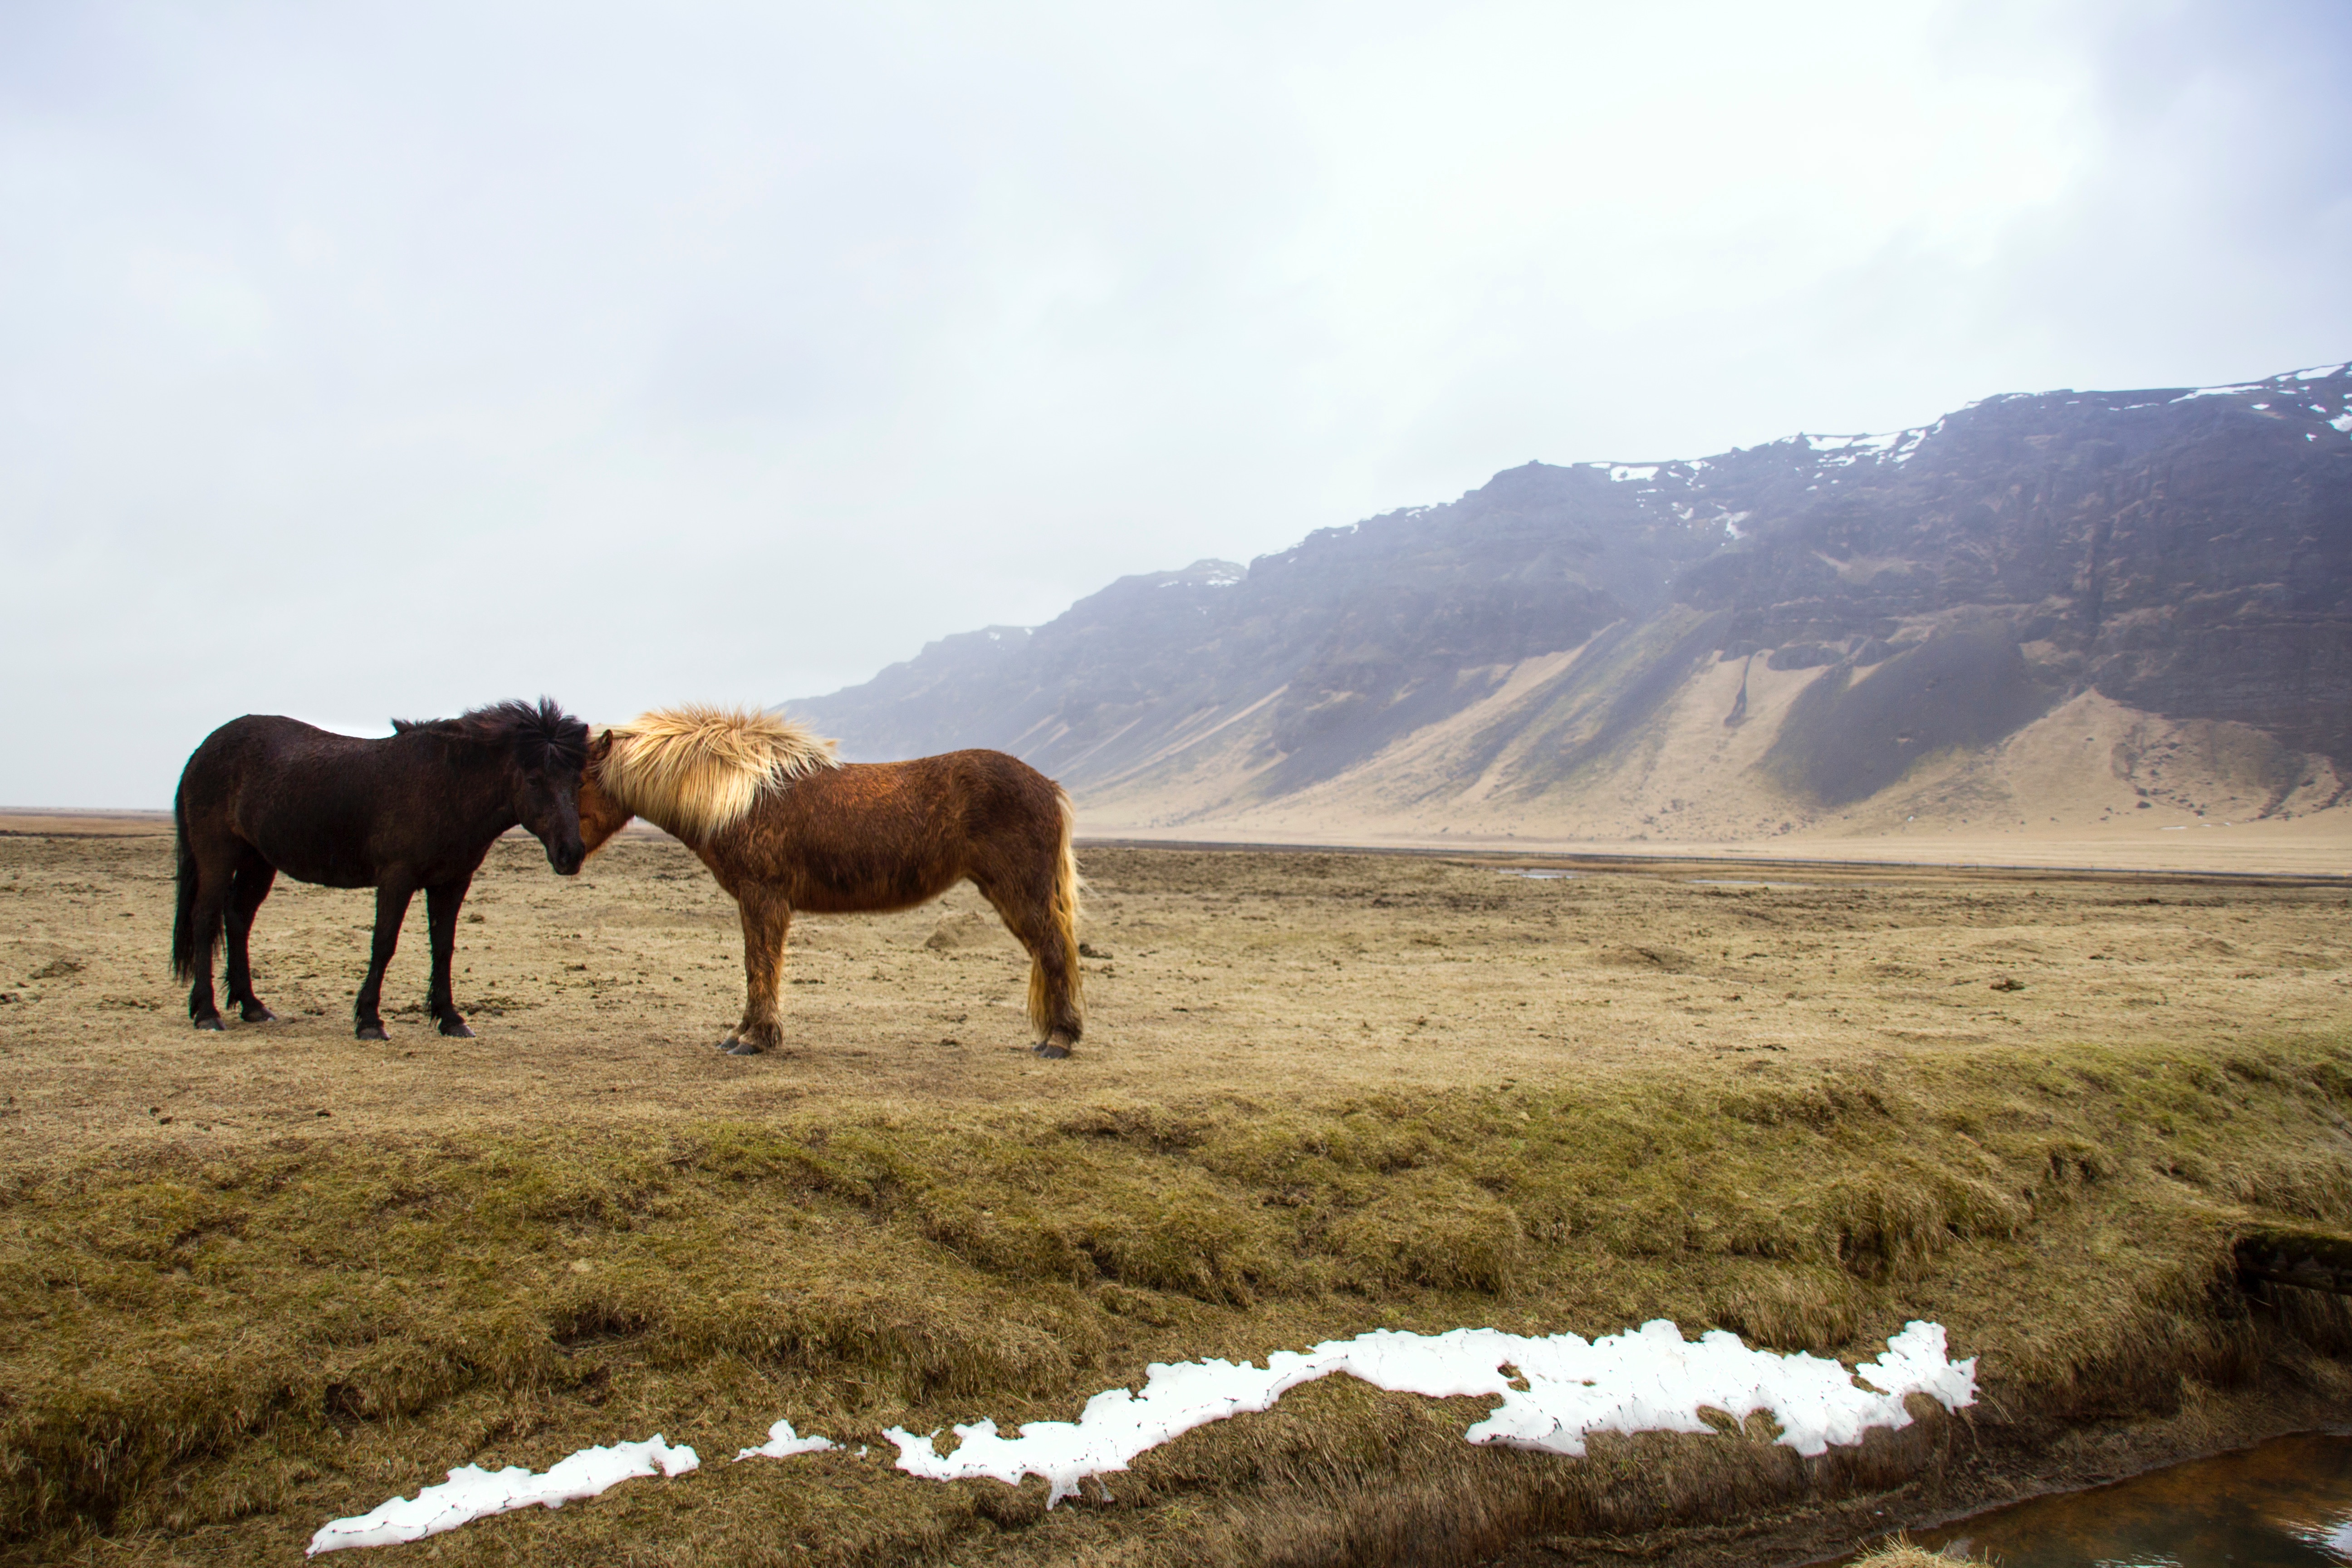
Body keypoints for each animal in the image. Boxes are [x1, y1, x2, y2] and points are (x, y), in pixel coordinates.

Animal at [172, 701, 593, 1044]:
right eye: (534, 780)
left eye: (577, 781)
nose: (571, 854)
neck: (447, 785)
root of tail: (203, 751)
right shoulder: (396, 879)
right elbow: (384, 944)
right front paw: (370, 1021)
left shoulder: (452, 883)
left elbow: (444, 948)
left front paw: (450, 1019)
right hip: (217, 854)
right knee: (205, 918)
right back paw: (207, 1013)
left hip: (258, 860)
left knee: (238, 918)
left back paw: (252, 1006)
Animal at [578, 710, 1082, 1053]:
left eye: (579, 781)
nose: (567, 856)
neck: (743, 797)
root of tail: (1049, 787)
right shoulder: (756, 900)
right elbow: (755, 964)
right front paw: (742, 1032)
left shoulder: (763, 897)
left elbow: (760, 963)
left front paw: (757, 1038)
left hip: (1021, 893)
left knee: (1053, 950)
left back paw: (1059, 1039)